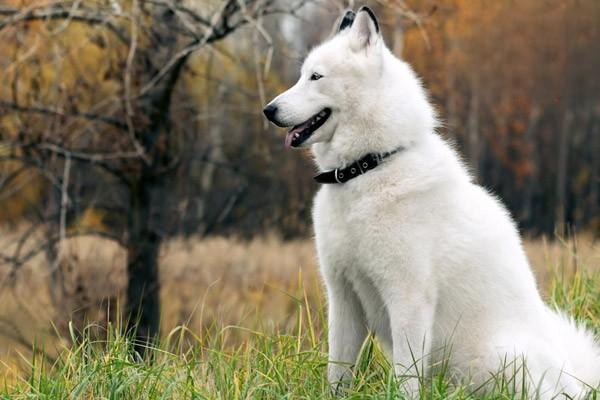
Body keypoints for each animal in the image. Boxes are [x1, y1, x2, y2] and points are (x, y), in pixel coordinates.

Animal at [264, 6, 600, 396]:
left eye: (316, 77)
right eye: (302, 75)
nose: (268, 110)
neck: (368, 168)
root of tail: (575, 382)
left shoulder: (408, 297)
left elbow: (406, 376)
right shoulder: (343, 296)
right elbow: (338, 372)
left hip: (500, 357)